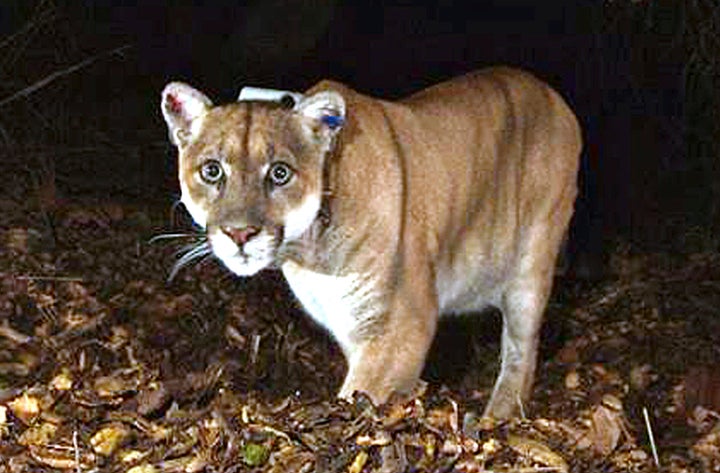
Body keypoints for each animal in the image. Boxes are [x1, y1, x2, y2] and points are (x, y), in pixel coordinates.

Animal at [162, 67, 580, 416]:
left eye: (280, 173)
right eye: (212, 171)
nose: (240, 233)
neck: (310, 254)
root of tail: (551, 93)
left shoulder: (401, 325)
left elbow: (360, 395)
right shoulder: (352, 325)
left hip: (532, 264)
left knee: (522, 351)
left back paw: (499, 415)